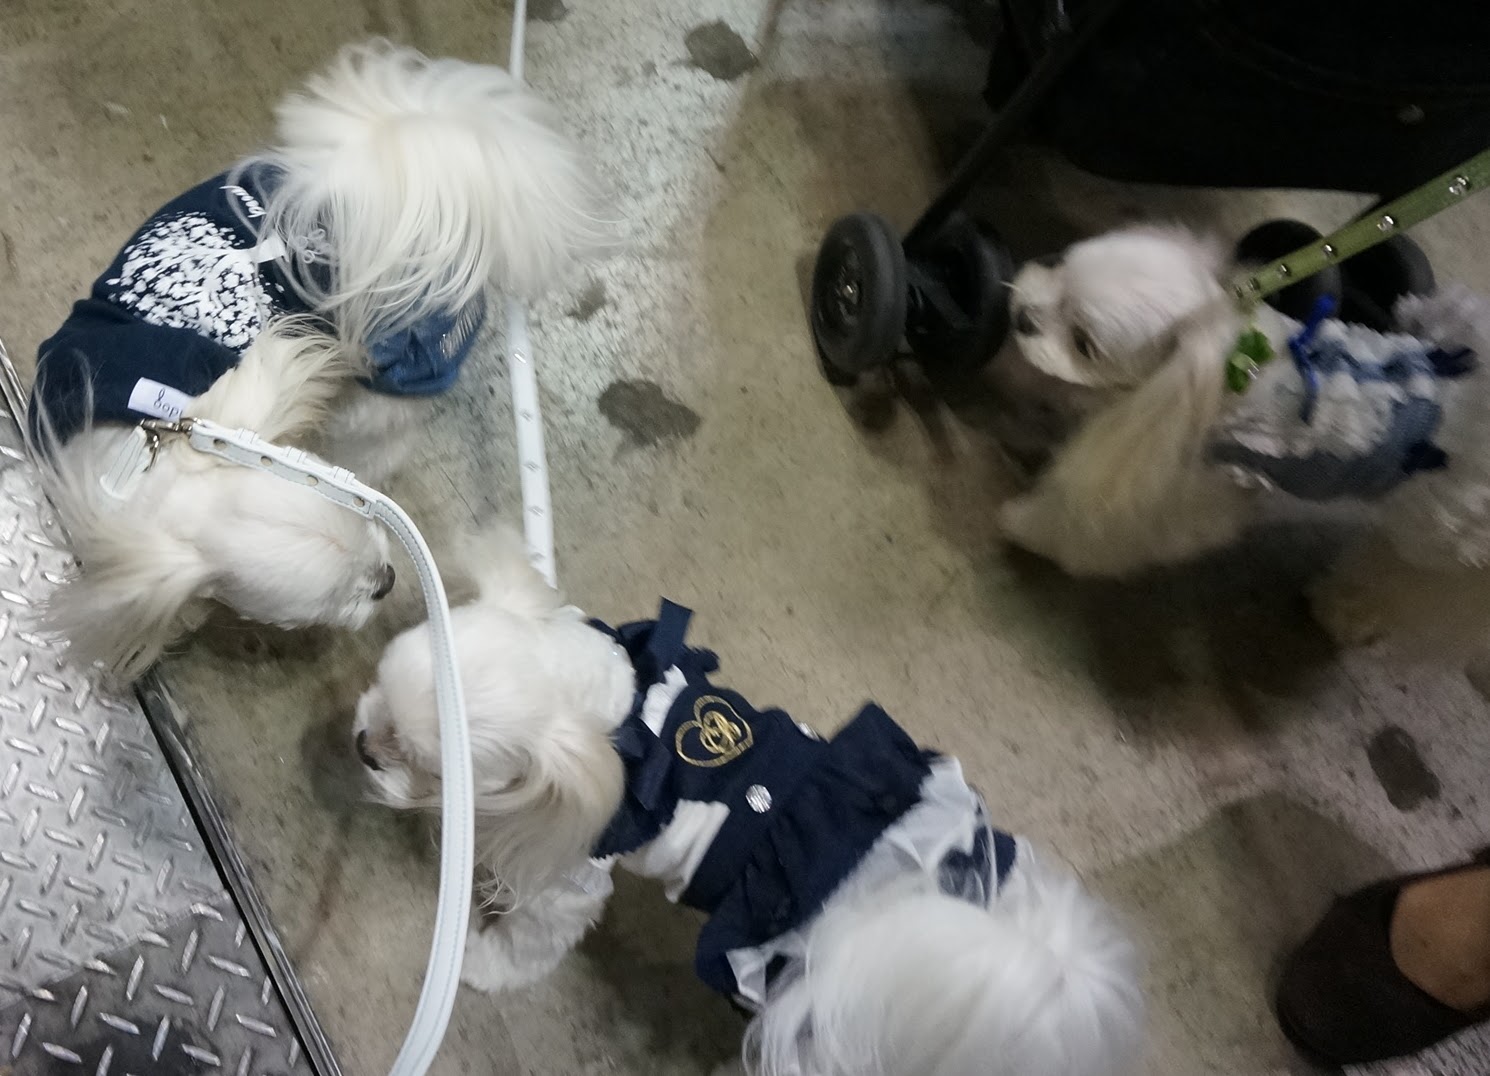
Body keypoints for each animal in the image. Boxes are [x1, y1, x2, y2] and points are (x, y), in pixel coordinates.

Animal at [352, 533, 1144, 1076]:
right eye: (376, 698)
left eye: (422, 765)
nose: (360, 743)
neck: (619, 712)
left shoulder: (576, 869)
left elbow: (532, 937)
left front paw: (482, 963)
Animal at [999, 225, 1490, 651]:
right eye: (1056, 263)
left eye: (1083, 343)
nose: (1023, 317)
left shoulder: (1183, 490)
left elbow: (1094, 528)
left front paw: (1023, 523)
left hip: (1444, 550)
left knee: (1404, 583)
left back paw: (1347, 612)